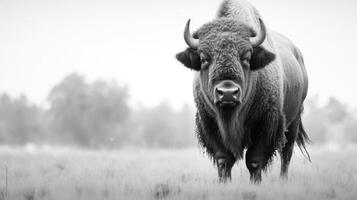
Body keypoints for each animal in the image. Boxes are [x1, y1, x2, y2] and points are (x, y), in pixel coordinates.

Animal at [175, 0, 308, 183]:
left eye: (246, 57)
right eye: (203, 58)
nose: (227, 93)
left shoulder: (266, 123)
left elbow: (254, 160)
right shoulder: (209, 123)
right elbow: (224, 160)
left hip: (294, 119)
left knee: (286, 153)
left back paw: (283, 180)